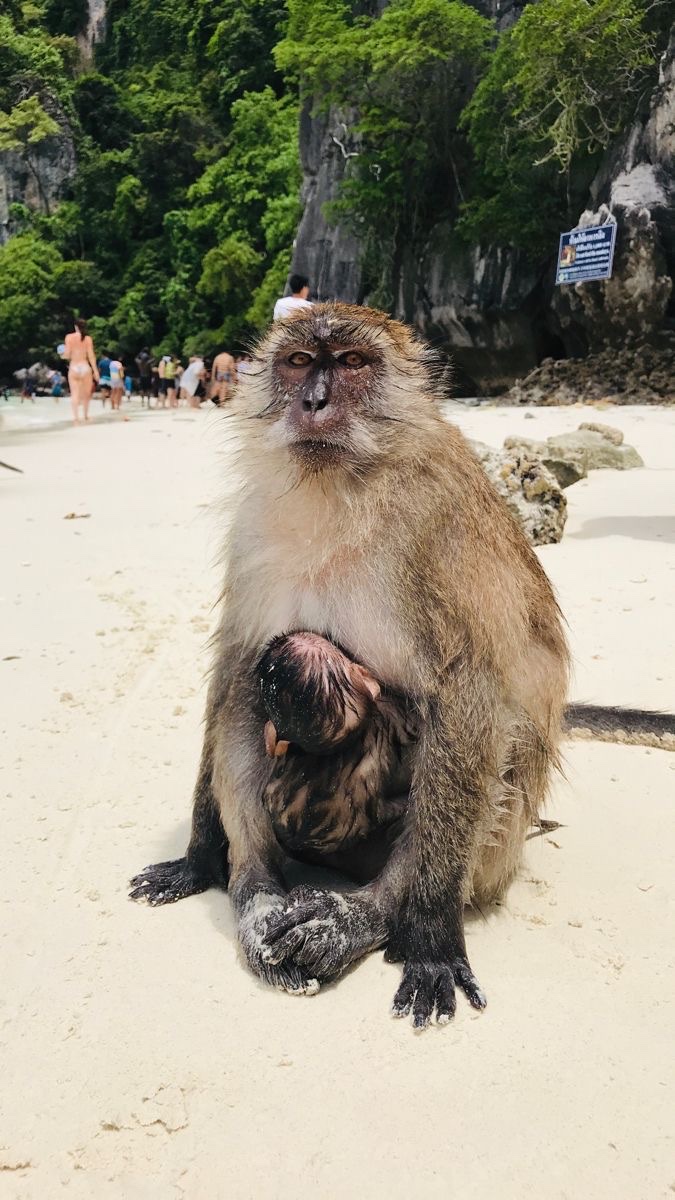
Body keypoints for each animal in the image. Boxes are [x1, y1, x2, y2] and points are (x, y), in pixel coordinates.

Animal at [129, 302, 675, 1028]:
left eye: (352, 363)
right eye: (299, 362)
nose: (313, 401)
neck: (343, 487)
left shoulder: (442, 533)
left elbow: (469, 694)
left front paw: (431, 935)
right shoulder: (253, 533)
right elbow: (235, 669)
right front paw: (197, 859)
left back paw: (370, 915)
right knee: (247, 694)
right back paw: (256, 891)